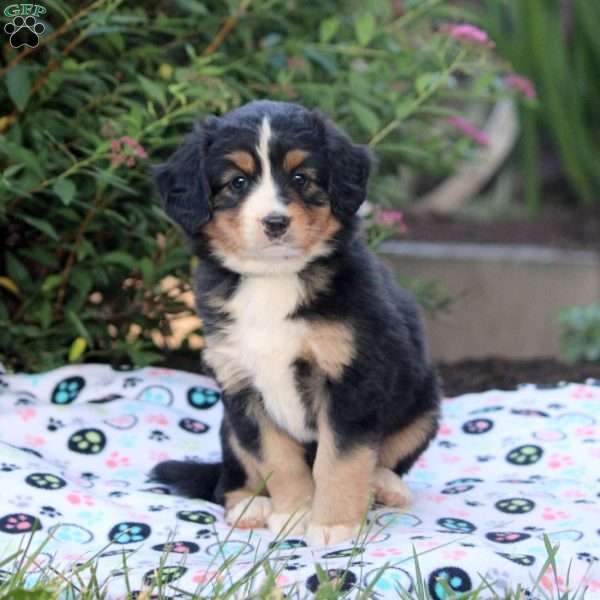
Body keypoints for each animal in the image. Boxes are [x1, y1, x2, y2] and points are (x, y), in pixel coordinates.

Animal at [150, 101, 440, 548]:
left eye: (301, 178)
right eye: (237, 182)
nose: (275, 222)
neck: (273, 280)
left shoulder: (351, 378)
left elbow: (340, 459)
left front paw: (334, 524)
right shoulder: (241, 386)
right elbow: (277, 459)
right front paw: (294, 514)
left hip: (423, 404)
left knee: (387, 457)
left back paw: (385, 486)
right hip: (228, 425)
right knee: (227, 478)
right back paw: (250, 505)